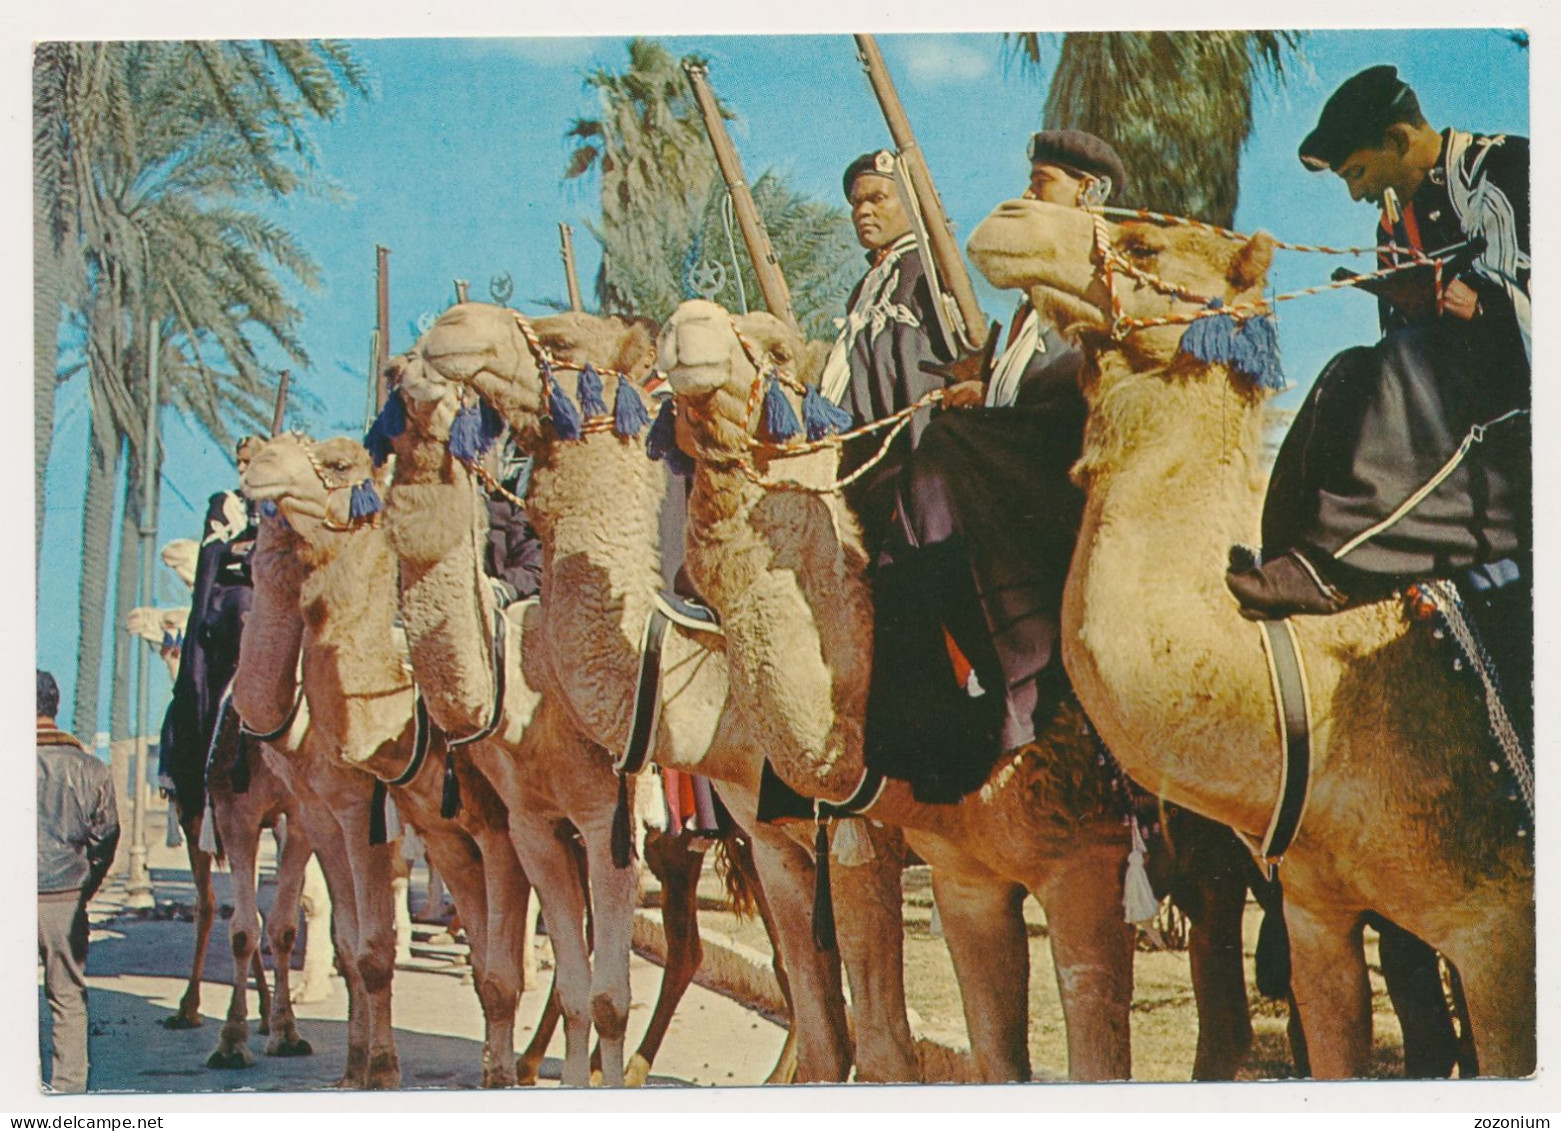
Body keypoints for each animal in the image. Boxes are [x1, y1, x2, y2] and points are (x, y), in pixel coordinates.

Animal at [231, 430, 549, 1085]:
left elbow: (379, 952)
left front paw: (379, 1069)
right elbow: (355, 948)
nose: (252, 457)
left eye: (338, 462)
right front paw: (355, 1069)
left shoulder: (372, 811)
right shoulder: (329, 814)